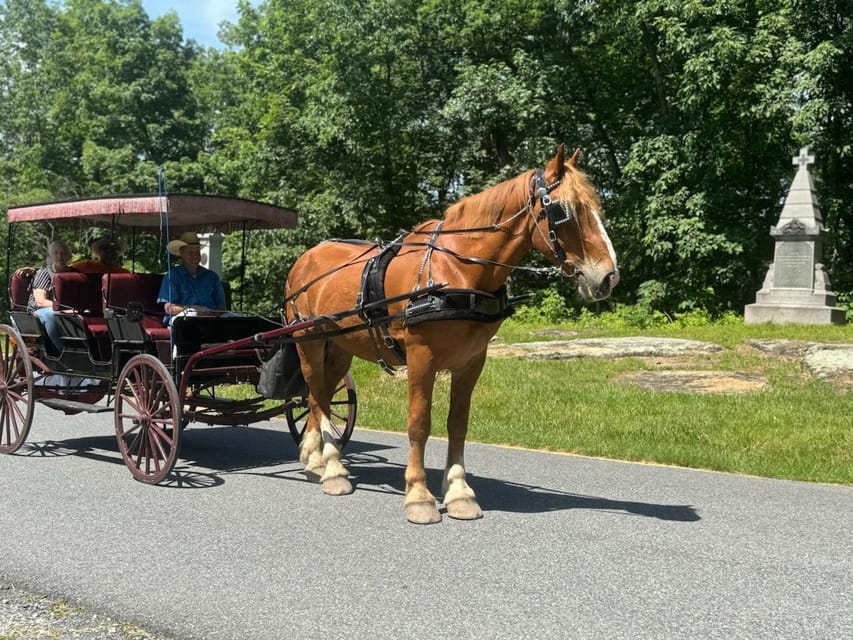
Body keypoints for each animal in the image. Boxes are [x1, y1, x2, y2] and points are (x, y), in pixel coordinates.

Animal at [282, 146, 616, 524]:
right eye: (564, 210)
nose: (609, 277)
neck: (458, 271)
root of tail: (305, 258)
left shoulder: (471, 361)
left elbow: (458, 424)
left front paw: (459, 492)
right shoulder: (420, 357)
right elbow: (419, 424)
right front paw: (418, 495)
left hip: (340, 348)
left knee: (318, 396)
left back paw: (316, 461)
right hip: (308, 341)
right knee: (317, 398)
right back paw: (333, 470)